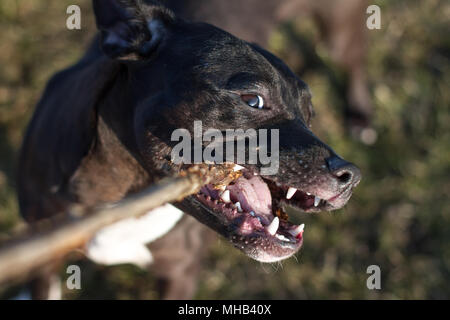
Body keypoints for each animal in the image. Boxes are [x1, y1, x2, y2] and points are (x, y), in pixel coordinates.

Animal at [17, 0, 360, 300]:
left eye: (310, 116)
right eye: (252, 99)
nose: (351, 175)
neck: (124, 196)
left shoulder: (179, 275)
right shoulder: (41, 256)